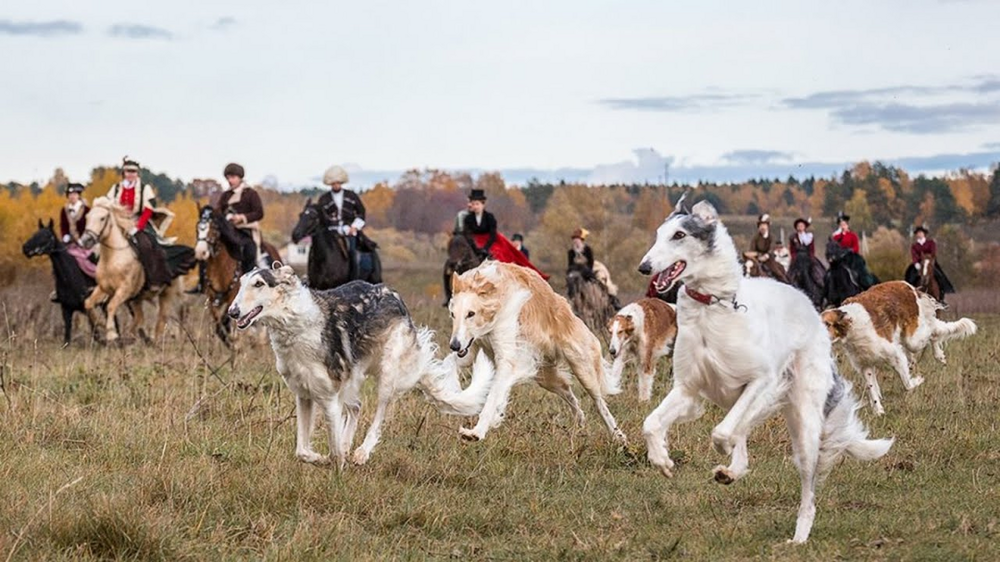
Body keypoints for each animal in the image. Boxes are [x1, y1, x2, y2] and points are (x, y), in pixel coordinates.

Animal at [80, 197, 191, 342]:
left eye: (102, 218)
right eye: (87, 217)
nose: (86, 241)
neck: (113, 259)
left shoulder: (124, 290)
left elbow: (111, 306)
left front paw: (111, 334)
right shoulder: (103, 288)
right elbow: (88, 303)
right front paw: (101, 324)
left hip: (166, 294)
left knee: (163, 317)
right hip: (139, 299)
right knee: (141, 318)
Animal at [227, 264, 492, 466]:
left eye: (259, 284)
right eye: (241, 283)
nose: (232, 311)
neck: (297, 324)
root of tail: (394, 295)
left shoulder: (329, 398)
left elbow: (334, 452)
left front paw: (337, 468)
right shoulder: (304, 394)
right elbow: (302, 451)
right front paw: (320, 458)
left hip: (386, 374)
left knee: (377, 415)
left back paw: (361, 453)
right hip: (352, 378)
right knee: (356, 407)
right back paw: (348, 446)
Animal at [448, 262, 624, 442]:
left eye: (471, 313)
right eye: (453, 314)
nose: (454, 345)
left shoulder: (506, 359)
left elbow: (492, 397)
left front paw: (476, 432)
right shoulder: (468, 351)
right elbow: (452, 364)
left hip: (581, 366)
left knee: (599, 401)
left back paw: (618, 435)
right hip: (543, 374)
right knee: (568, 392)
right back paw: (580, 418)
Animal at [636, 195, 896, 540]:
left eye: (679, 235)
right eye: (658, 234)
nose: (644, 267)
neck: (713, 305)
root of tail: (807, 303)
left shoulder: (762, 380)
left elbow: (721, 432)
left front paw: (718, 448)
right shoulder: (689, 388)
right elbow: (651, 423)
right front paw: (662, 460)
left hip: (803, 419)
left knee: (806, 489)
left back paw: (799, 537)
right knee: (741, 432)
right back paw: (731, 471)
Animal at [820, 280, 976, 416]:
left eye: (827, 324)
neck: (852, 325)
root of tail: (907, 286)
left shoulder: (894, 354)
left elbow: (907, 383)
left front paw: (918, 380)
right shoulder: (865, 364)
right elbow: (872, 389)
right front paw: (879, 412)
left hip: (913, 339)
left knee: (933, 330)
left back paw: (939, 355)